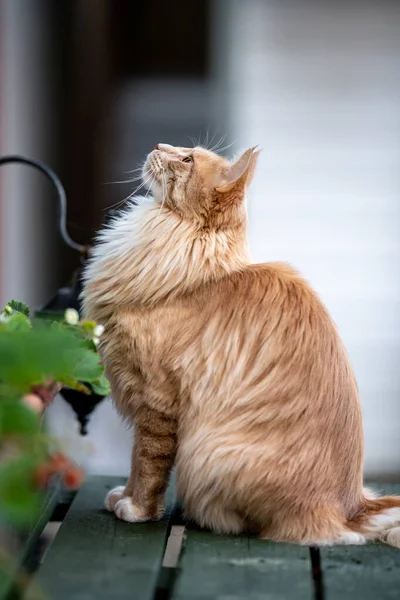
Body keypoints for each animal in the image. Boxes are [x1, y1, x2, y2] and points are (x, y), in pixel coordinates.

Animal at [82, 143, 400, 548]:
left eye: (187, 160)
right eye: (182, 150)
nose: (157, 147)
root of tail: (353, 508)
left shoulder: (156, 403)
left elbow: (146, 465)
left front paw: (135, 509)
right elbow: (136, 466)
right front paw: (121, 497)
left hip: (208, 452)